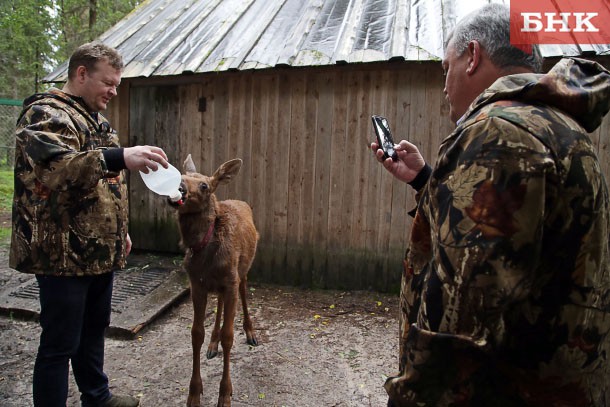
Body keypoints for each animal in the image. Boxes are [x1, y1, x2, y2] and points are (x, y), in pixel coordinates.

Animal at [167, 155, 258, 407]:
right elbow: (196, 334)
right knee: (219, 304)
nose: (179, 188)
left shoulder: (231, 281)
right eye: (181, 175)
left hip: (242, 273)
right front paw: (194, 394)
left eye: (204, 186)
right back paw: (213, 343)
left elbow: (229, 336)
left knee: (244, 295)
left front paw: (225, 394)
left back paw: (251, 333)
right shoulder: (197, 285)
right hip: (219, 284)